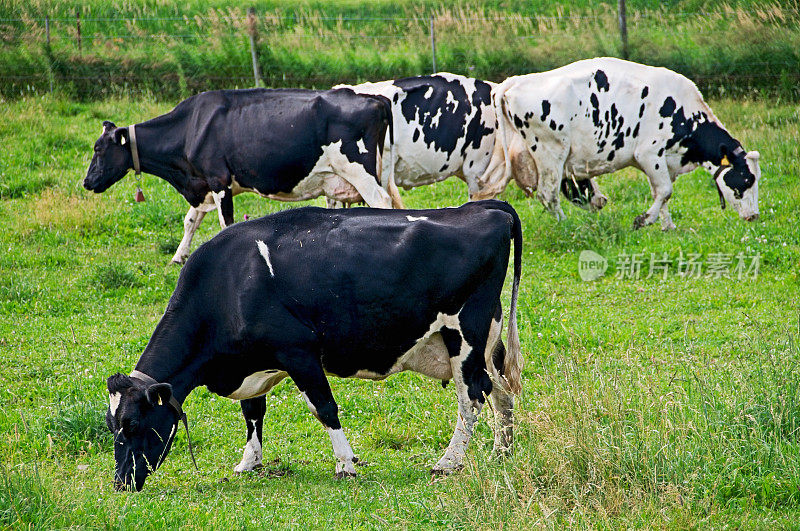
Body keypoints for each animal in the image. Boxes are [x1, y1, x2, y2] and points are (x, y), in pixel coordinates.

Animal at [83, 88, 396, 264]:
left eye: (98, 149)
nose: (87, 182)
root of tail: (376, 98)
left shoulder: (219, 180)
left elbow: (226, 224)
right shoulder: (203, 184)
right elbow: (190, 220)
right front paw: (178, 256)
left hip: (360, 172)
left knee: (382, 203)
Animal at [101, 202, 524, 492]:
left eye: (133, 424)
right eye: (111, 426)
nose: (121, 483)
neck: (229, 283)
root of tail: (484, 207)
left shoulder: (299, 352)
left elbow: (324, 407)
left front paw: (346, 464)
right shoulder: (256, 362)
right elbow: (253, 412)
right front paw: (249, 462)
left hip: (464, 334)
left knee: (472, 396)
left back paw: (448, 462)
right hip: (488, 340)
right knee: (501, 390)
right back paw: (501, 451)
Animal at [484, 57, 760, 229]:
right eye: (746, 179)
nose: (755, 216)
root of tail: (517, 80)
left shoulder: (661, 161)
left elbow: (662, 192)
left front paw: (668, 225)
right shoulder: (649, 153)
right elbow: (665, 190)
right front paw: (644, 220)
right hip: (551, 153)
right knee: (548, 194)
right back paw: (565, 224)